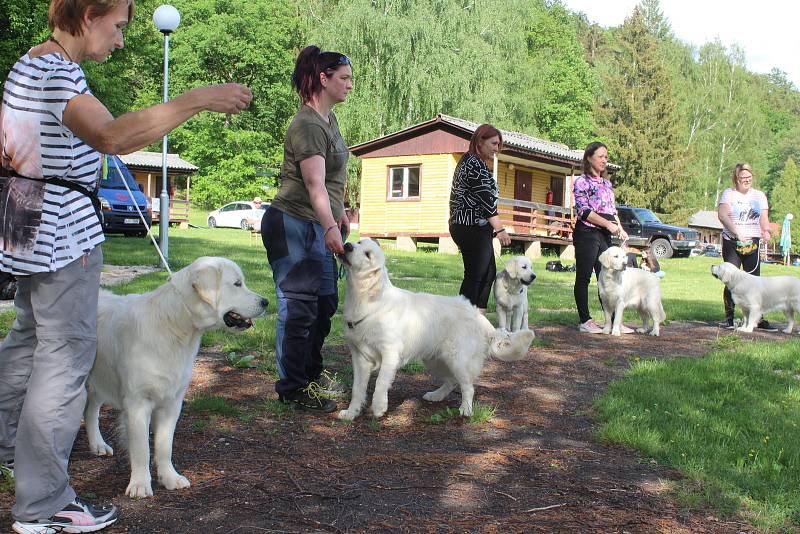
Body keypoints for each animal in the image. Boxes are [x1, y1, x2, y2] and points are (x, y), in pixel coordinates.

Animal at [84, 256, 268, 498]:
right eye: (237, 284)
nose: (266, 302)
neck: (174, 326)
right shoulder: (137, 403)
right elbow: (142, 448)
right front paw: (140, 484)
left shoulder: (172, 403)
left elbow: (164, 445)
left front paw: (169, 477)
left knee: (90, 411)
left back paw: (97, 445)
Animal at [334, 241, 536, 420]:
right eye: (359, 242)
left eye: (368, 254)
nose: (347, 245)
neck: (367, 300)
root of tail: (477, 314)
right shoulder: (359, 357)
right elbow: (357, 389)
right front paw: (351, 412)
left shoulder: (390, 353)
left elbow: (381, 382)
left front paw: (378, 407)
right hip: (436, 360)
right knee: (451, 381)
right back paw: (435, 395)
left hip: (457, 359)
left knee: (468, 386)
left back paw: (465, 409)